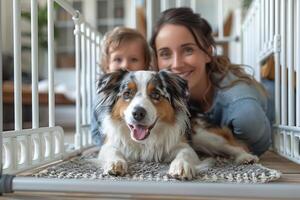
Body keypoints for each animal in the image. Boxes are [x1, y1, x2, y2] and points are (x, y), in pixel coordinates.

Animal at [95, 70, 258, 180]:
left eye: (156, 95)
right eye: (127, 93)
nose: (138, 113)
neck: (146, 141)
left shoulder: (184, 144)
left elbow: (184, 153)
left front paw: (181, 167)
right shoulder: (110, 144)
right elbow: (112, 151)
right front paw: (116, 163)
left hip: (204, 137)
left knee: (234, 146)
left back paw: (246, 157)